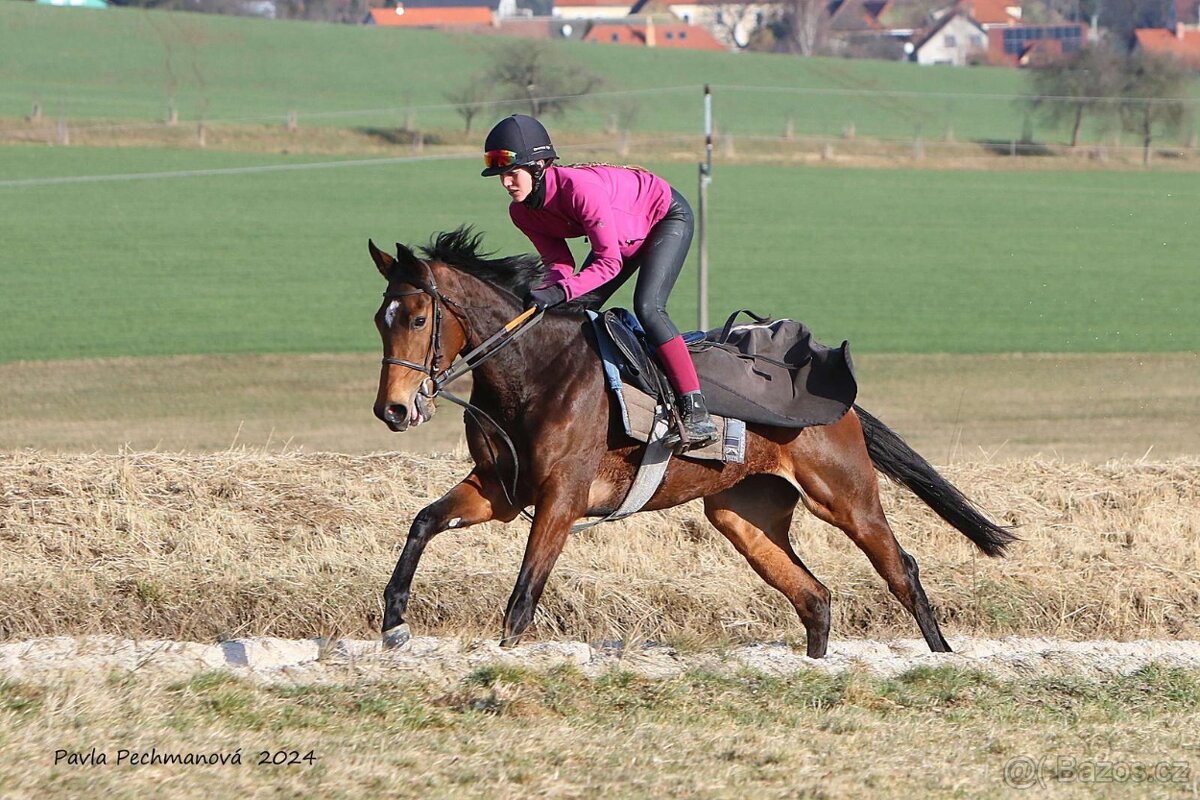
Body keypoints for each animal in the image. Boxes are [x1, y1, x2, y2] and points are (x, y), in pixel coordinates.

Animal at [364, 227, 1012, 662]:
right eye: (379, 318)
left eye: (417, 319)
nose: (392, 410)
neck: (534, 372)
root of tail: (843, 402)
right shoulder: (501, 490)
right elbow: (423, 522)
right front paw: (394, 621)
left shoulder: (560, 498)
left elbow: (524, 594)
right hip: (743, 514)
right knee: (815, 596)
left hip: (846, 498)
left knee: (901, 570)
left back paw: (942, 660)